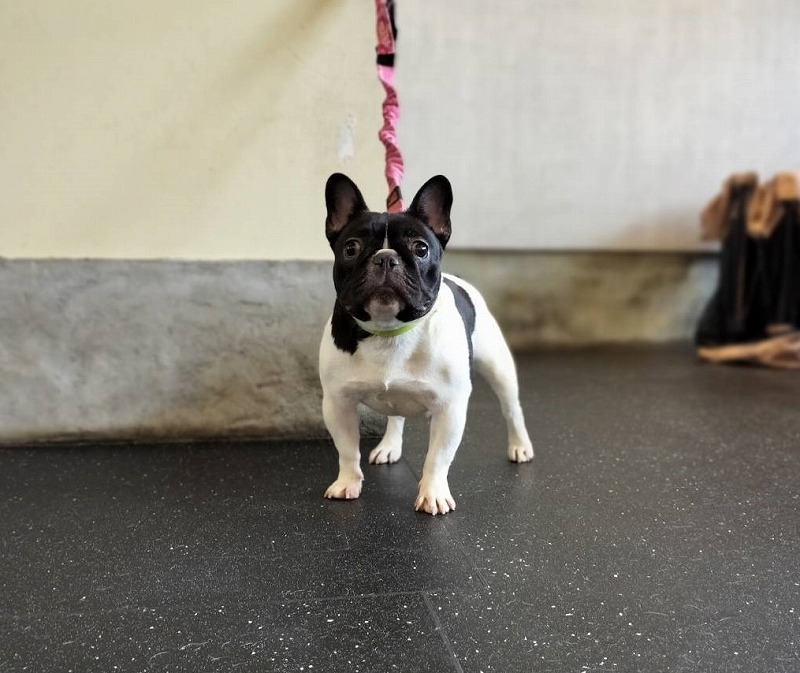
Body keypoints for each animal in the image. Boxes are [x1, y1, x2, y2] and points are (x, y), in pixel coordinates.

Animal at [319, 173, 533, 515]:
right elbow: (347, 449)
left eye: (420, 248)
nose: (385, 259)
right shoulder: (338, 403)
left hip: (498, 367)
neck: (389, 330)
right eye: (351, 248)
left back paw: (520, 446)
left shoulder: (450, 408)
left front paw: (433, 494)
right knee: (395, 417)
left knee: (512, 409)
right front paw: (347, 483)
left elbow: (438, 458)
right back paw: (389, 446)